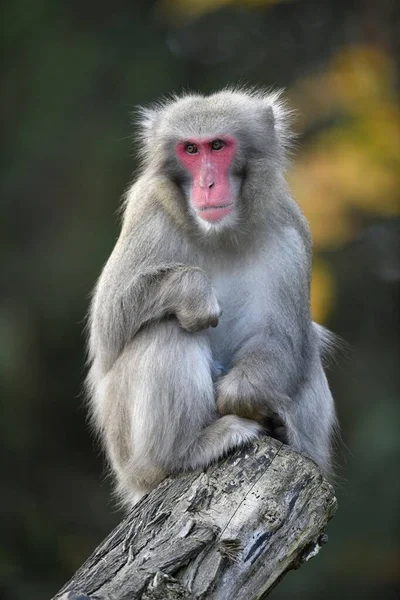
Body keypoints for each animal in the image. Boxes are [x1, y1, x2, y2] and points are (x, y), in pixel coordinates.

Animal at [86, 86, 338, 508]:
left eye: (217, 146)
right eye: (191, 149)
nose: (207, 184)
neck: (219, 234)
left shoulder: (289, 232)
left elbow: (282, 337)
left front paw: (236, 396)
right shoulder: (147, 214)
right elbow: (108, 328)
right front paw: (194, 291)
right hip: (126, 454)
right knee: (168, 330)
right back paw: (184, 451)